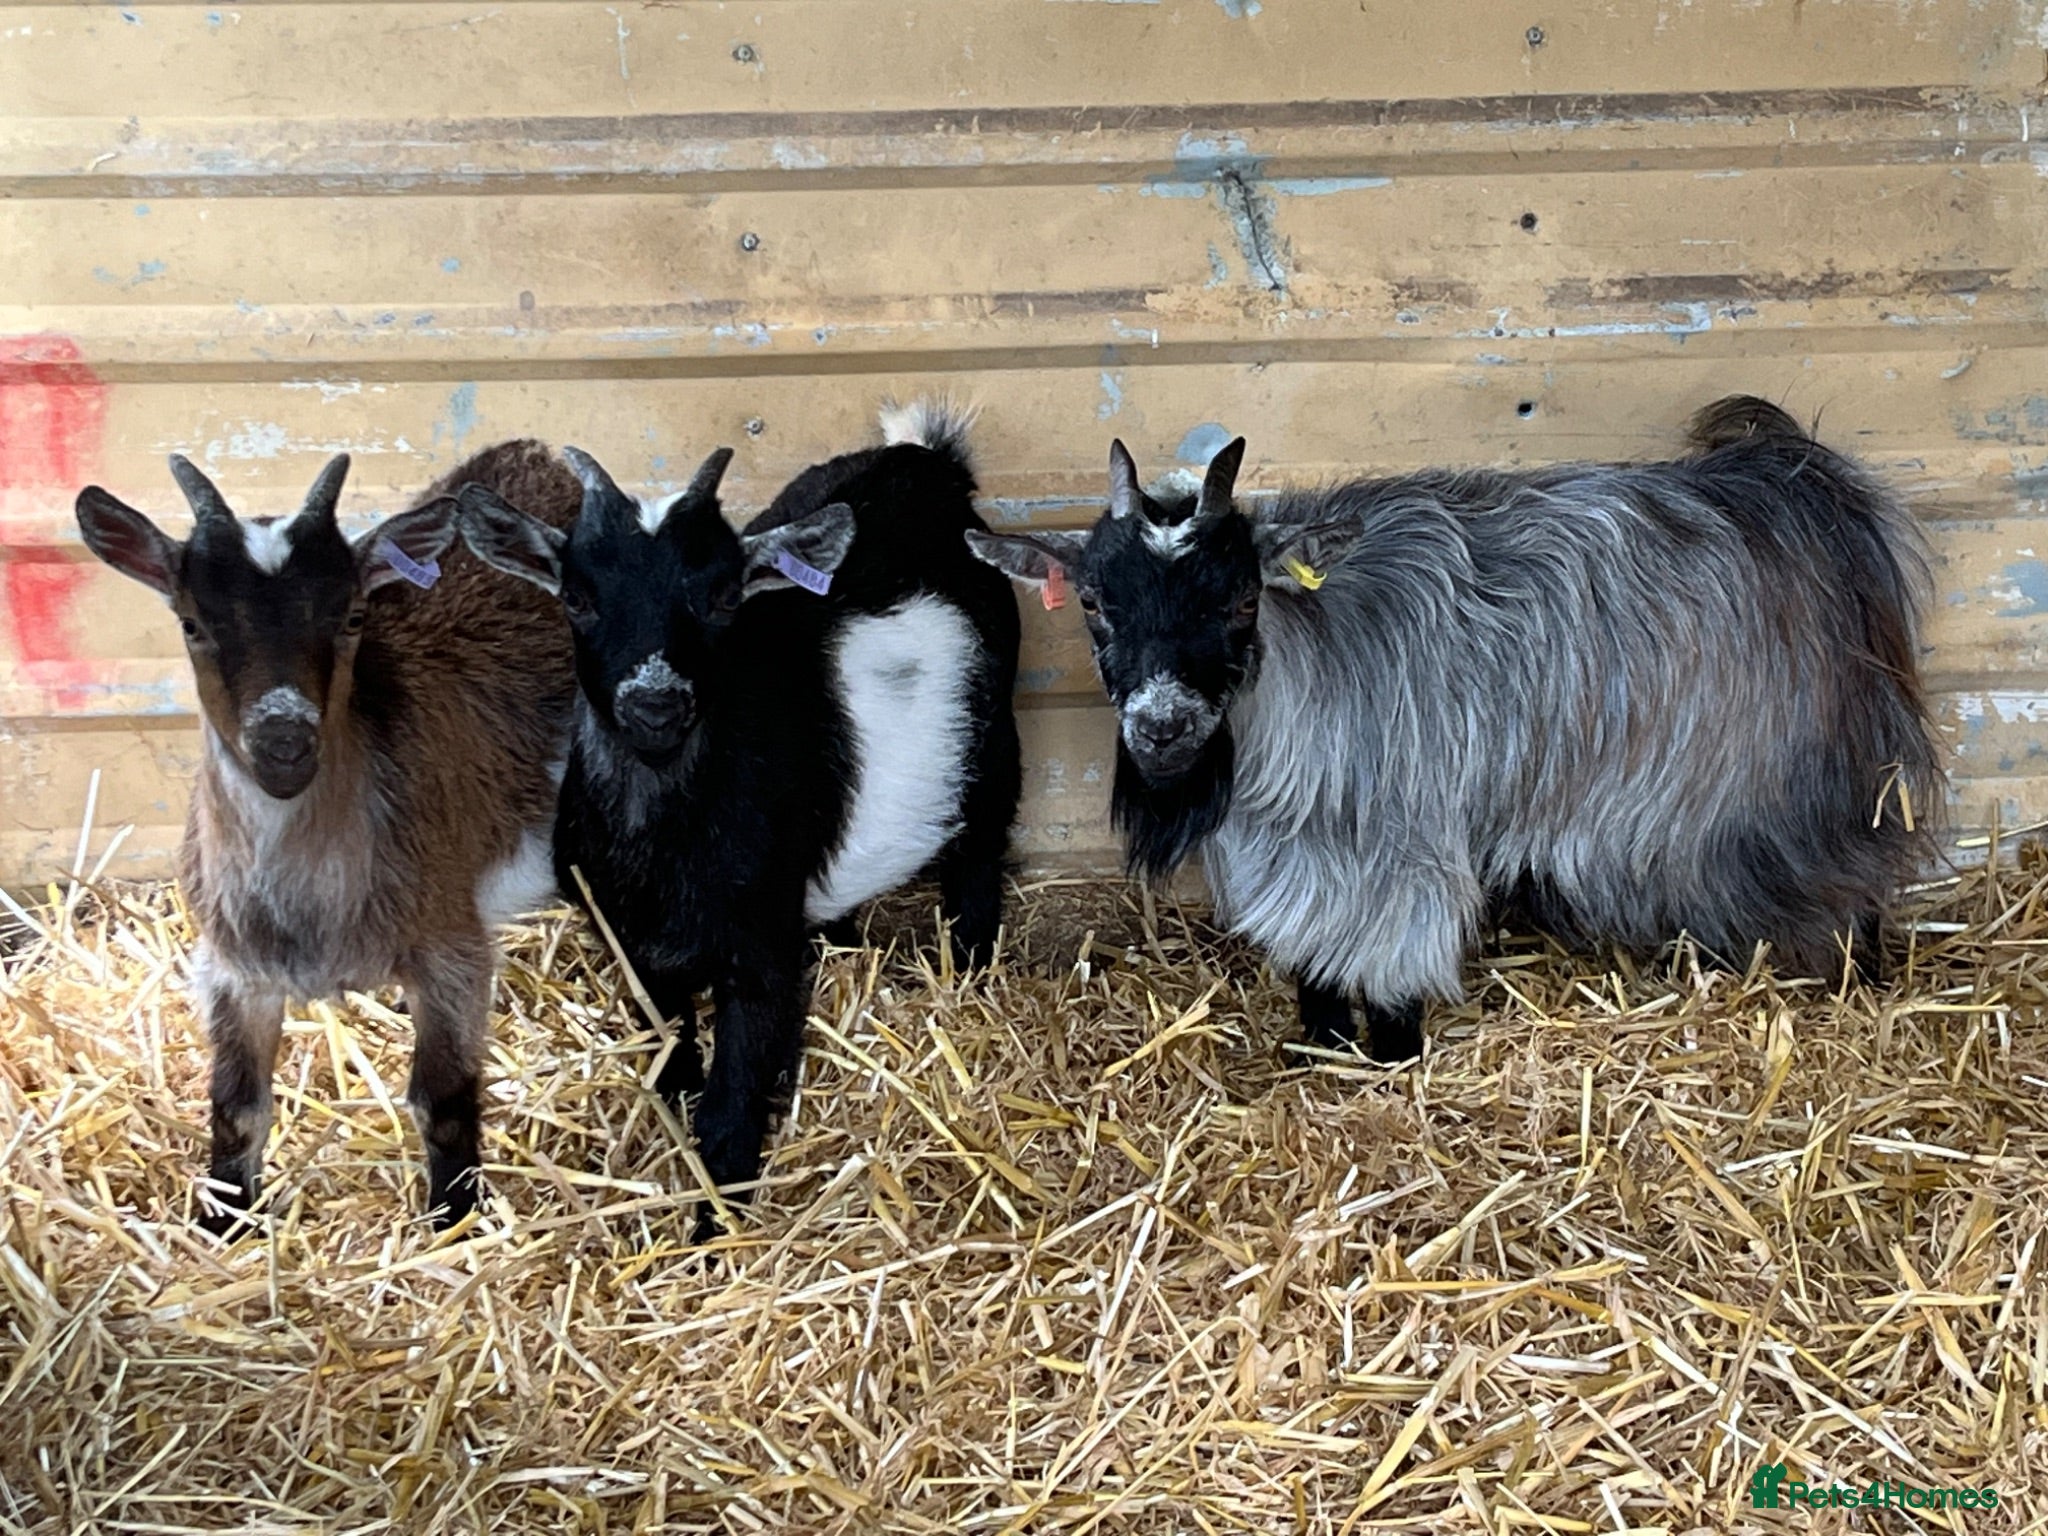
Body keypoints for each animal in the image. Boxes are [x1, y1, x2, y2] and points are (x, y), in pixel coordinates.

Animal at [74, 443, 579, 1230]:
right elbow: (237, 1107)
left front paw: (453, 1223)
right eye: (192, 623)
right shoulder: (233, 969)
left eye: (352, 615)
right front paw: (223, 1222)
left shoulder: (453, 950)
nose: (284, 743)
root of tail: (543, 452)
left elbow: (443, 1102)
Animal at [458, 401, 1021, 1220]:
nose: (656, 703)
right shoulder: (627, 942)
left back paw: (972, 968)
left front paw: (716, 1222)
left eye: (724, 596)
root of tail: (929, 462)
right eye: (576, 597)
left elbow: (733, 1099)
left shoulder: (758, 954)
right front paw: (674, 1111)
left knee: (981, 849)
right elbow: (667, 1046)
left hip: (996, 736)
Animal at [966, 397, 1942, 1059]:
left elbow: (1392, 962)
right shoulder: (1304, 853)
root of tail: (1795, 483)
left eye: (1241, 599)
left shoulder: (1404, 843)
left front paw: (1392, 1053)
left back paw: (1854, 975)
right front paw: (1321, 1044)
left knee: (1851, 878)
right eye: (1094, 603)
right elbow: (1316, 961)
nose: (1163, 728)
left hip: (1798, 789)